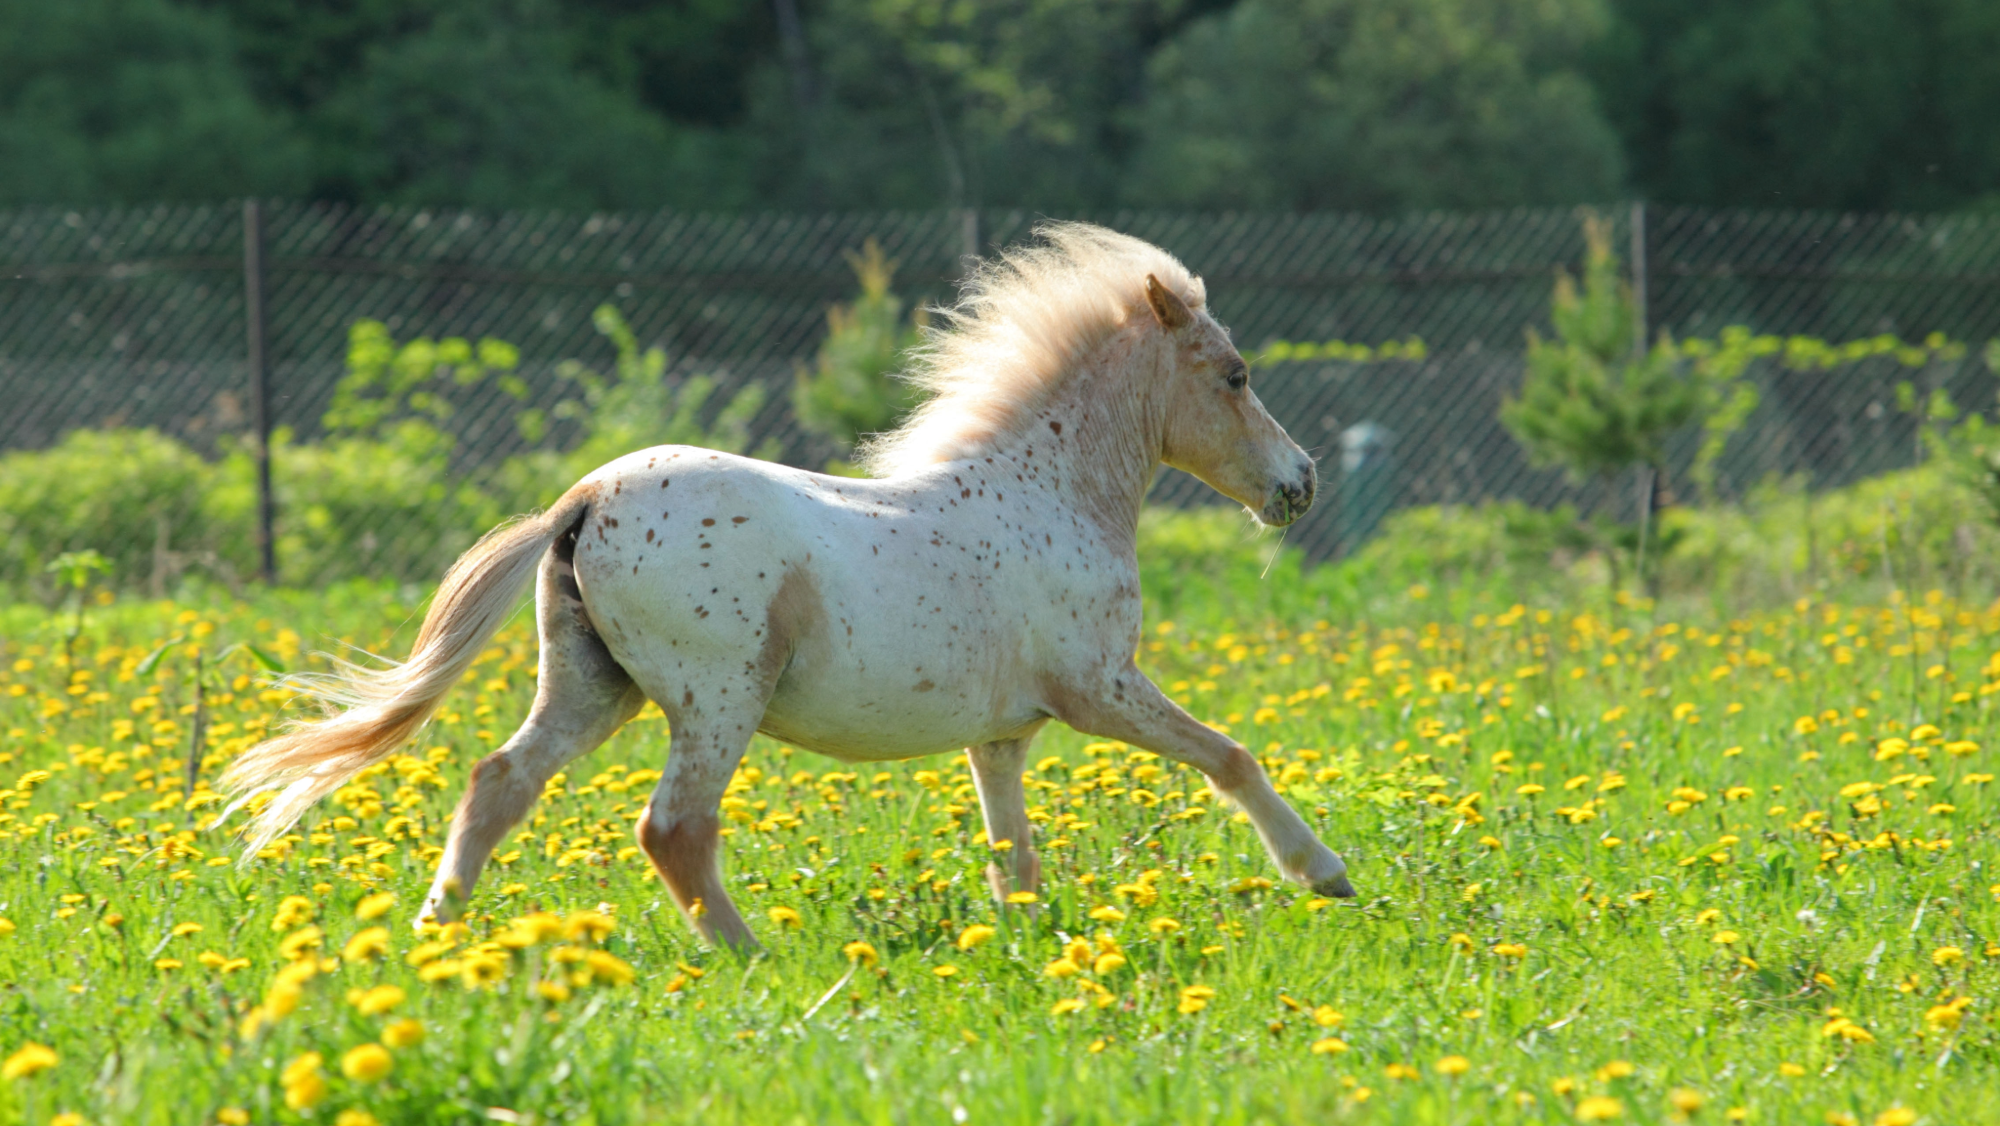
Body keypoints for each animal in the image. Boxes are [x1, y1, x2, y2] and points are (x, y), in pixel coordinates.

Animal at [221, 222, 1355, 949]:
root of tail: (584, 498)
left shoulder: (1001, 735)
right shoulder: (1100, 687)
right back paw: (753, 958)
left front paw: (1030, 950)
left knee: (499, 780)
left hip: (591, 686)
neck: (1050, 491)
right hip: (718, 697)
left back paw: (433, 932)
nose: (1298, 484)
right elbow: (1229, 755)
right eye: (1234, 374)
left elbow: (1016, 857)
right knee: (672, 828)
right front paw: (1324, 873)